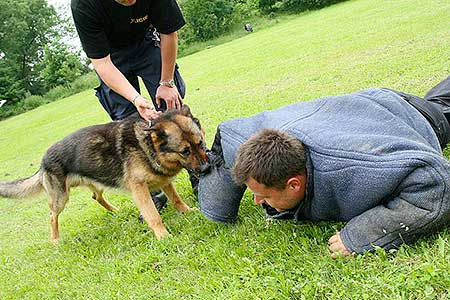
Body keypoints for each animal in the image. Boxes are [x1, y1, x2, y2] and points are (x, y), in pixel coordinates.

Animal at [0, 105, 208, 241]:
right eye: (185, 151)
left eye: (200, 143)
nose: (207, 168)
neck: (147, 144)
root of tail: (43, 161)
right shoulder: (139, 188)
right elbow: (152, 214)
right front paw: (163, 236)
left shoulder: (163, 180)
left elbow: (176, 199)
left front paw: (187, 211)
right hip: (61, 198)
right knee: (52, 215)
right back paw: (55, 240)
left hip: (98, 181)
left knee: (96, 197)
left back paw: (115, 211)